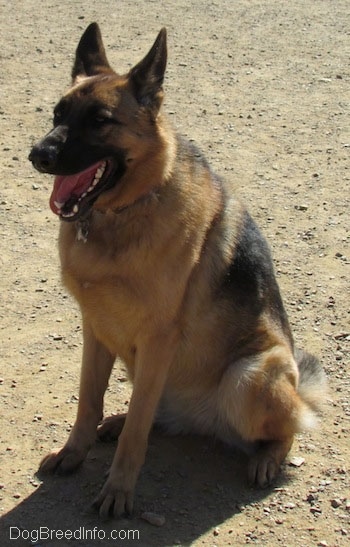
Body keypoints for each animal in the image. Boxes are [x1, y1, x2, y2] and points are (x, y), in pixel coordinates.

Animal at [28, 24, 326, 520]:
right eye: (58, 113)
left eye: (100, 120)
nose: (37, 154)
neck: (125, 210)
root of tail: (205, 421)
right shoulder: (96, 329)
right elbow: (88, 402)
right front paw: (74, 452)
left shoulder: (157, 340)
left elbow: (135, 436)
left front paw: (119, 491)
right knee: (150, 415)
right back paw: (123, 419)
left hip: (249, 375)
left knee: (286, 428)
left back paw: (267, 459)